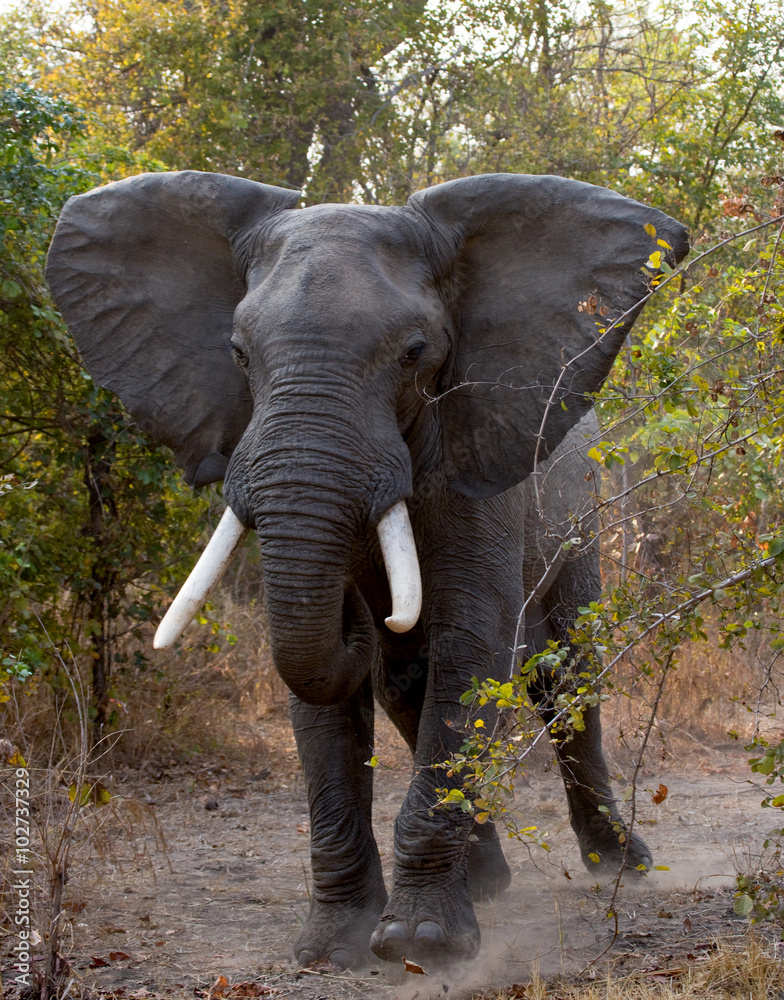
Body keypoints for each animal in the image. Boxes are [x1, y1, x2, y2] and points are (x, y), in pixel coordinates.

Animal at [46, 170, 688, 969]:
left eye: (414, 352)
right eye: (238, 353)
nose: (365, 616)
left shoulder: (481, 470)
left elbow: (471, 648)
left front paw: (423, 945)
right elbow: (318, 686)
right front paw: (334, 946)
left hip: (583, 513)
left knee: (562, 670)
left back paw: (619, 863)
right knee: (407, 687)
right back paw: (487, 881)